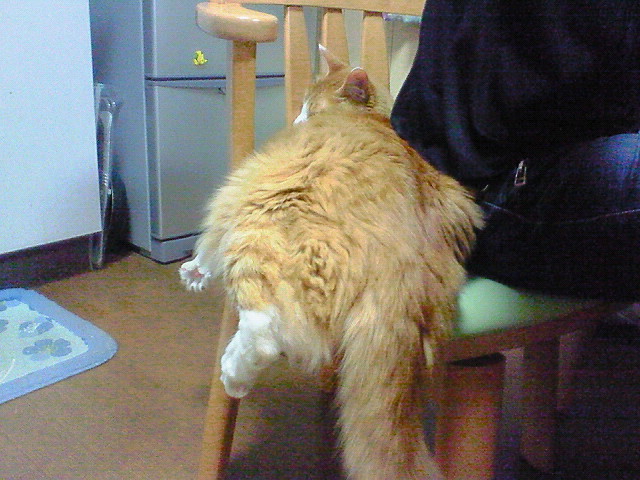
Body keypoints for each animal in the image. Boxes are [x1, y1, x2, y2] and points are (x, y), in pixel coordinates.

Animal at [180, 46, 483, 480]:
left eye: (311, 107)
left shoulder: (240, 188)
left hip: (260, 222)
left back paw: (233, 374)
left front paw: (194, 270)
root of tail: (404, 263)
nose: (297, 119)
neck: (372, 123)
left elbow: (208, 244)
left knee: (264, 331)